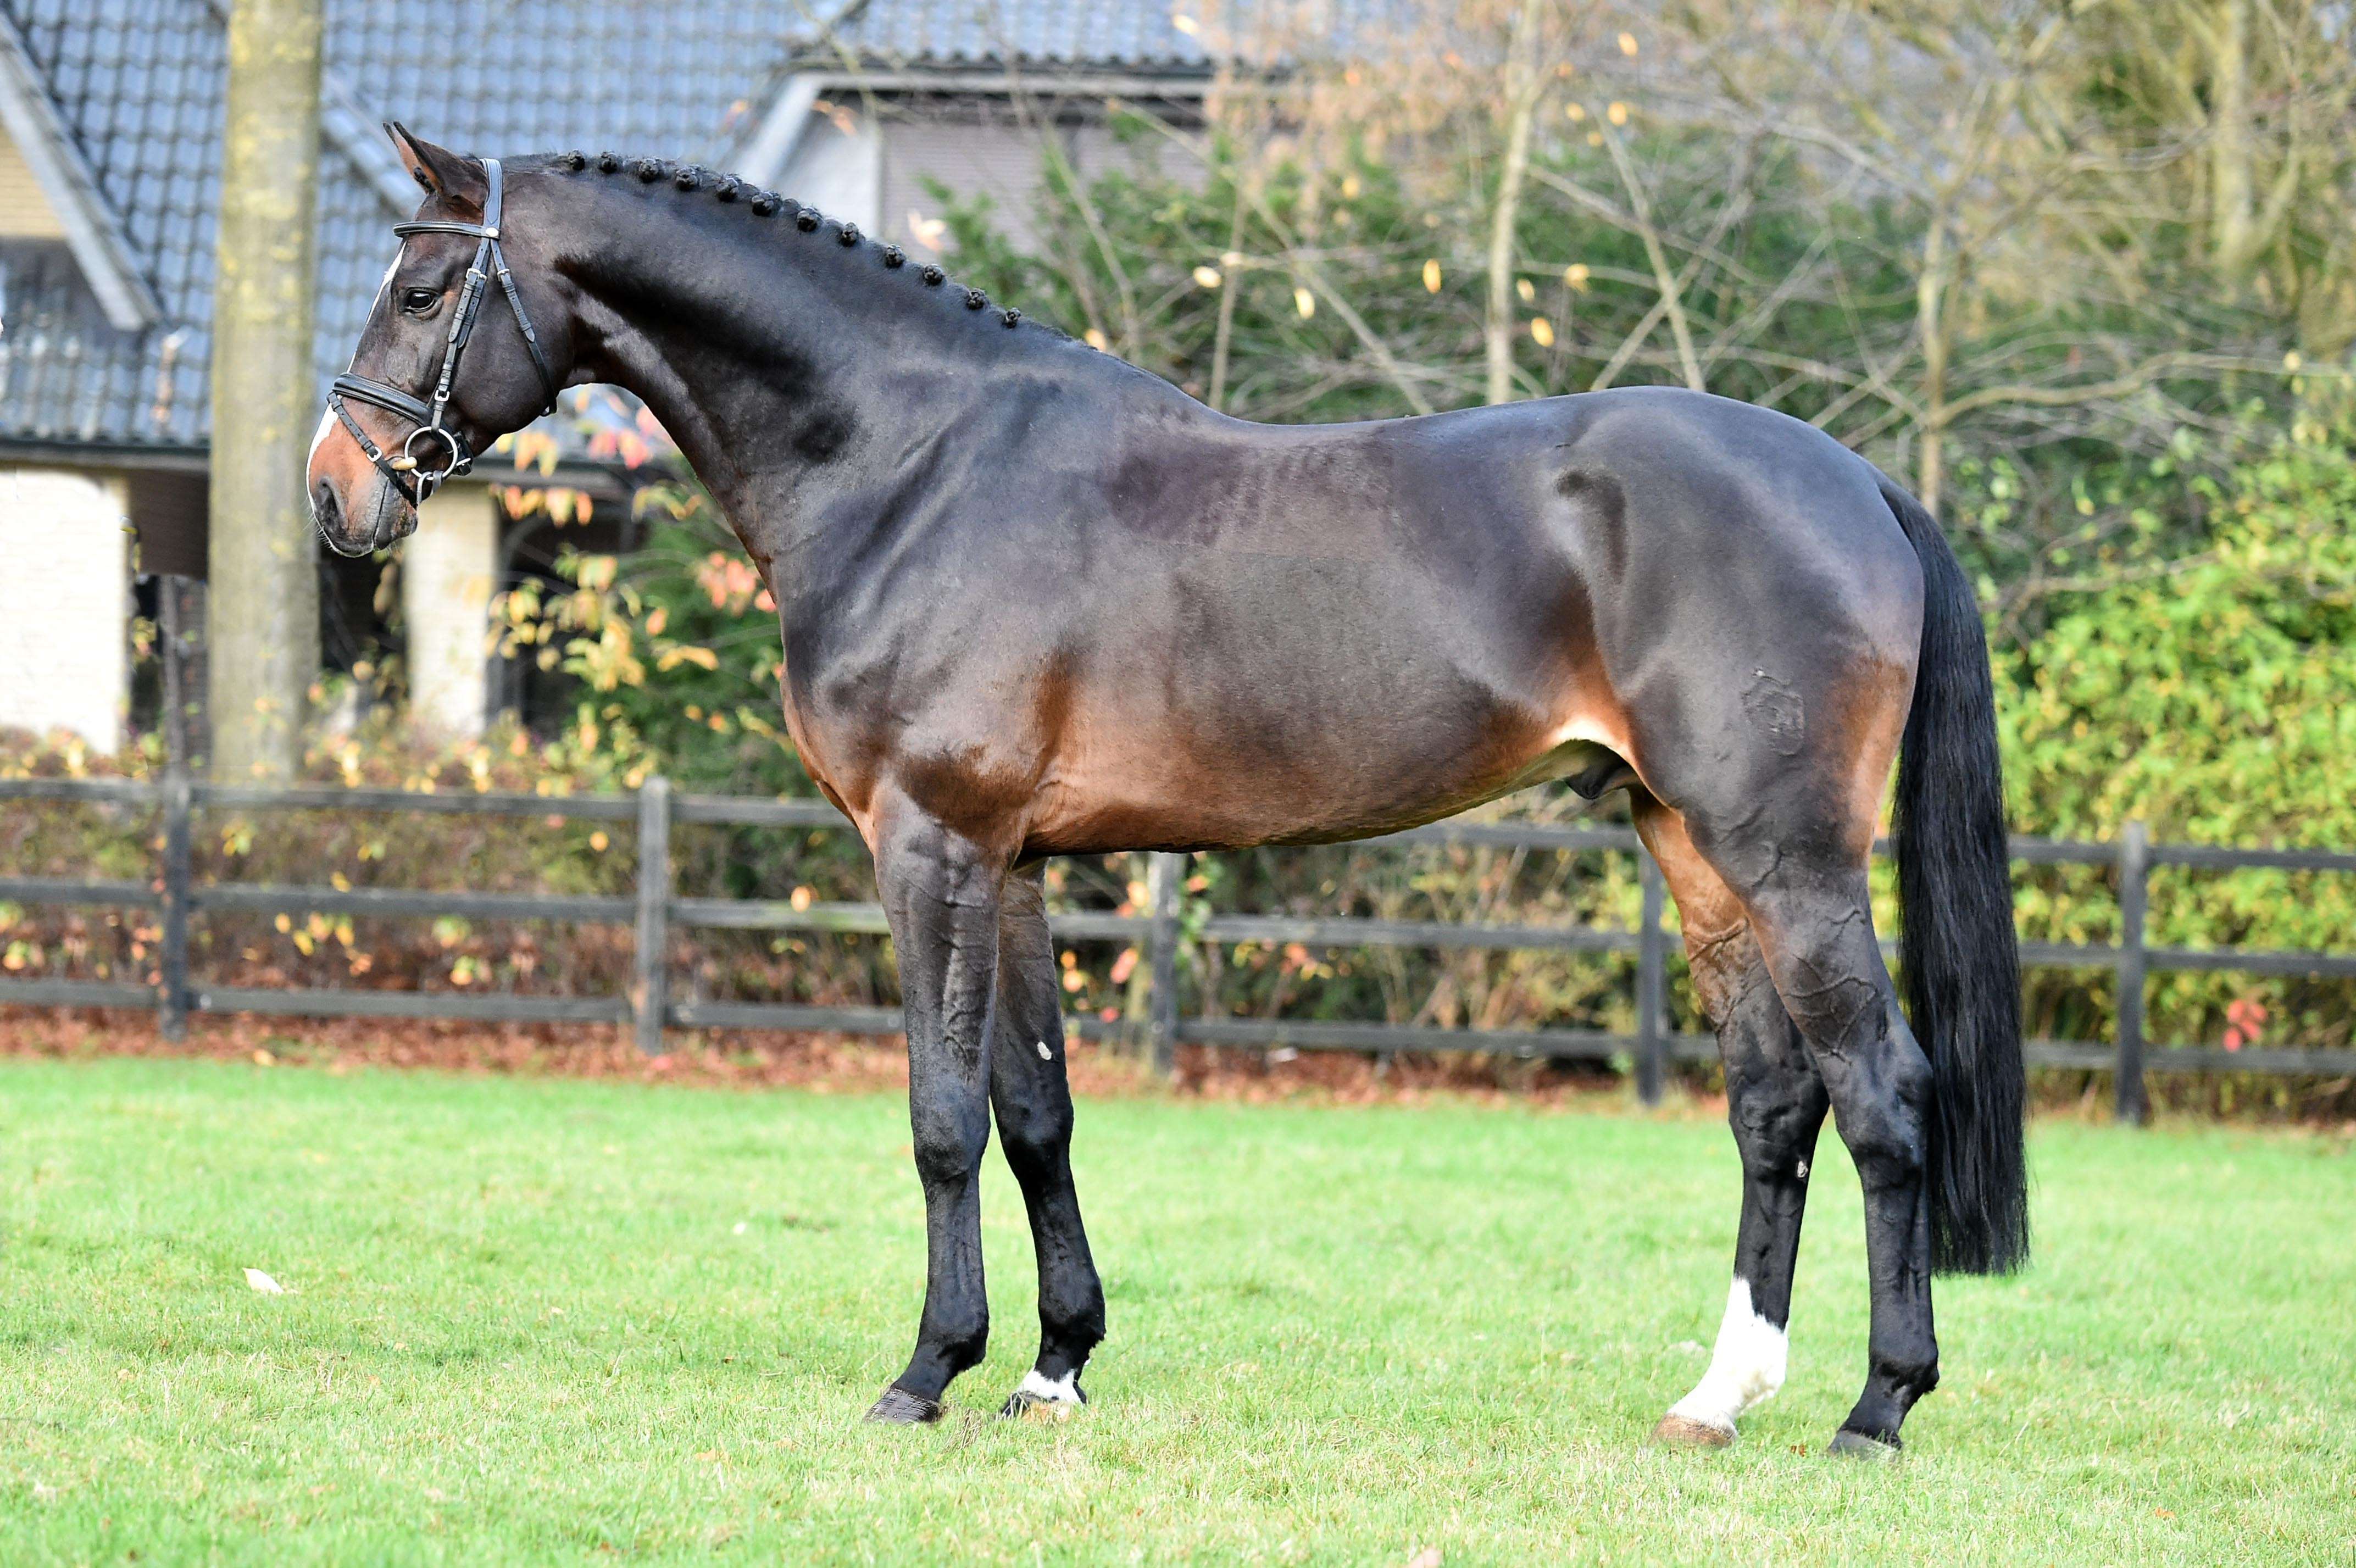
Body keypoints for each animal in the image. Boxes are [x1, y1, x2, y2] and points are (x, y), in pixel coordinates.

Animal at [308, 125, 2028, 1456]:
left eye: (419, 286)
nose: (336, 492)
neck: (912, 462)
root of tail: (1854, 477)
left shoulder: (928, 844)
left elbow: (941, 1117)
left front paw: (925, 1370)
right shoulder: (1013, 860)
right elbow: (1035, 1111)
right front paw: (1053, 1365)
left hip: (1787, 852)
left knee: (1884, 1091)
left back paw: (1878, 1406)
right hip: (1689, 842)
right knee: (1774, 1102)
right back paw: (1719, 1394)